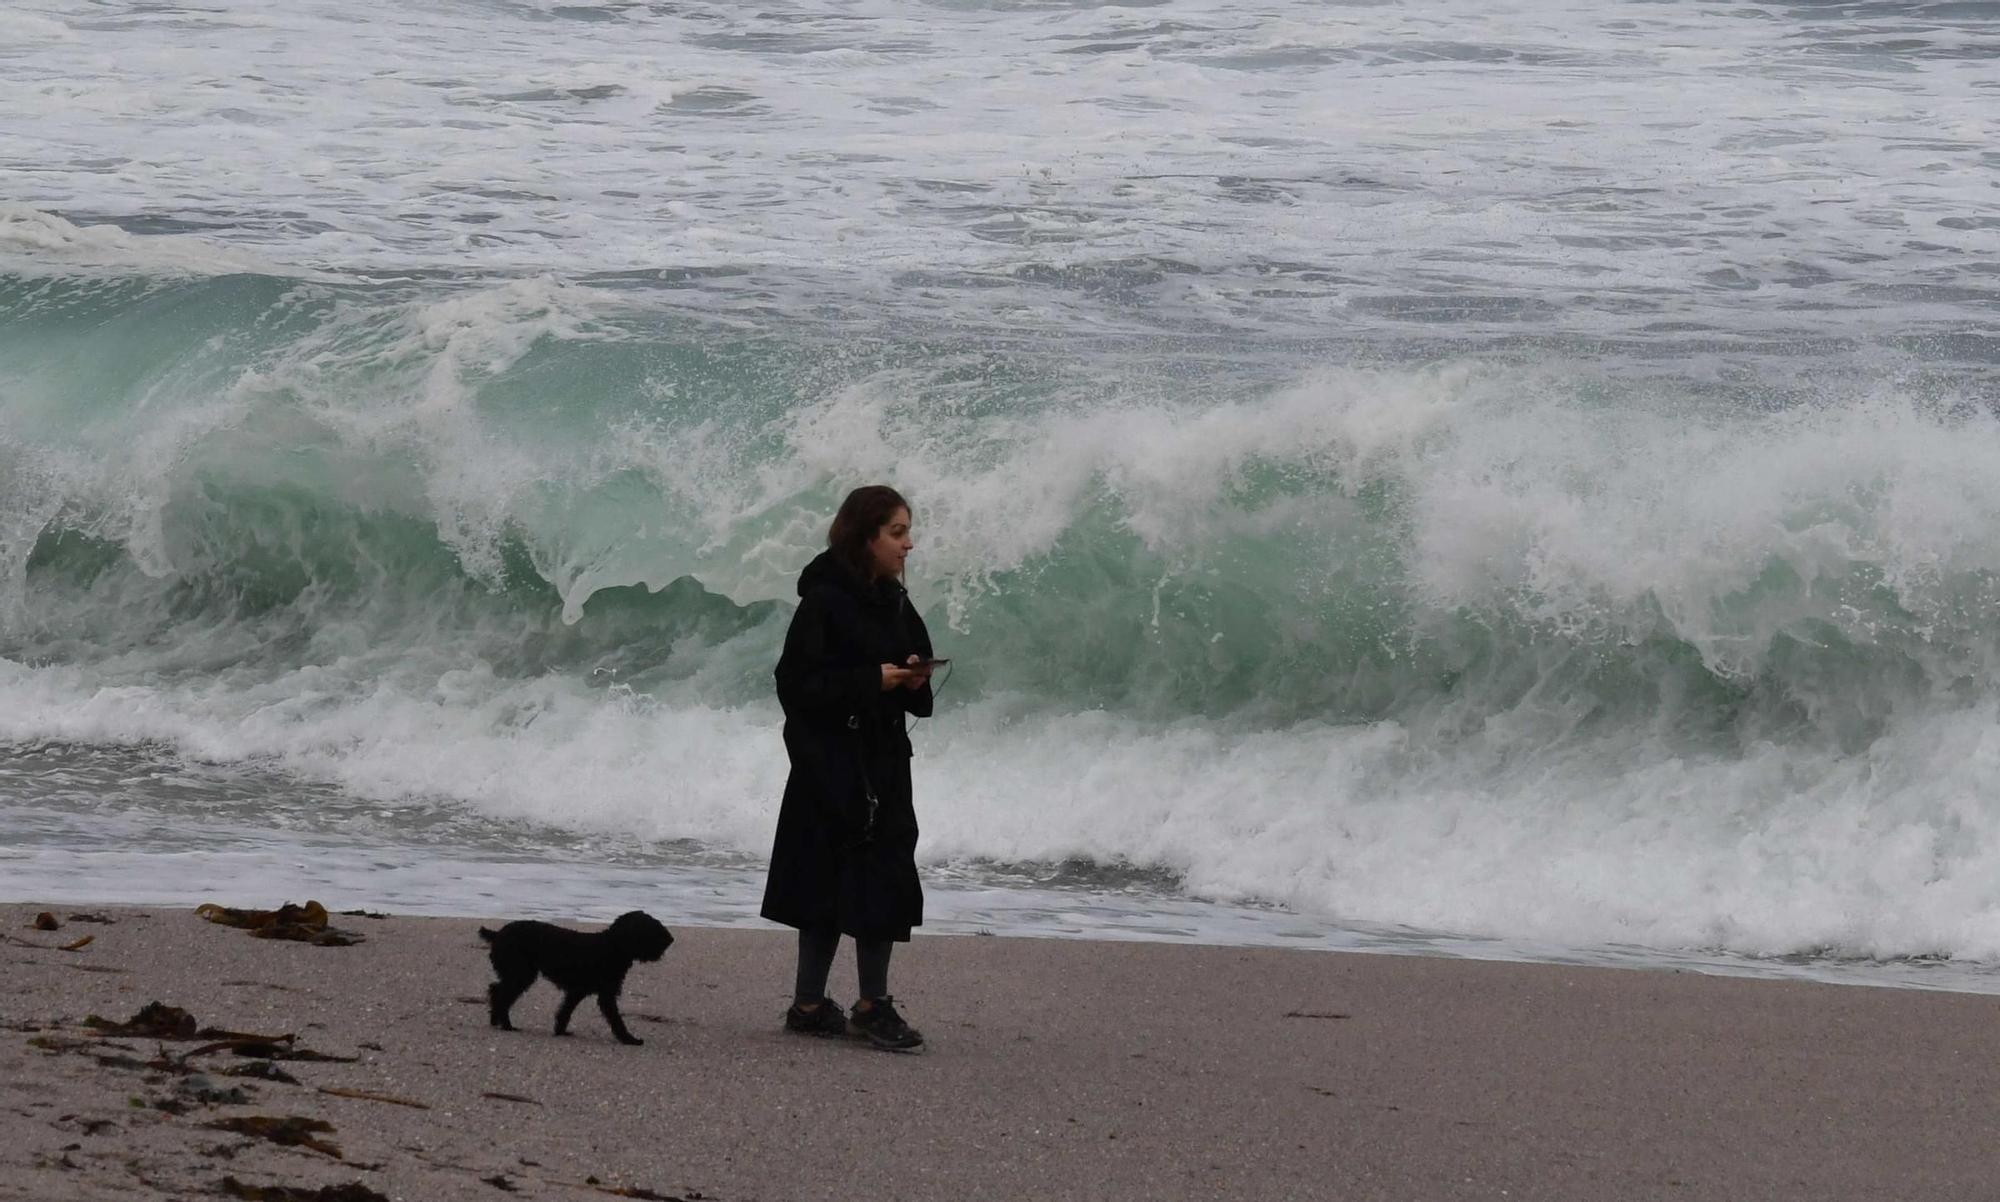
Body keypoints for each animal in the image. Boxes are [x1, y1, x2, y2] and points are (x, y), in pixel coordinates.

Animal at [480, 908, 676, 1040]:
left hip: (517, 974)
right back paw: (506, 1025)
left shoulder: (577, 991)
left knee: (496, 990)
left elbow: (565, 1011)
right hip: (520, 974)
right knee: (501, 994)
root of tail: (497, 934)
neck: (612, 946)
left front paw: (560, 1030)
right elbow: (615, 1018)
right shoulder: (606, 995)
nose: (671, 939)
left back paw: (496, 1020)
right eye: (650, 927)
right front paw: (629, 1039)